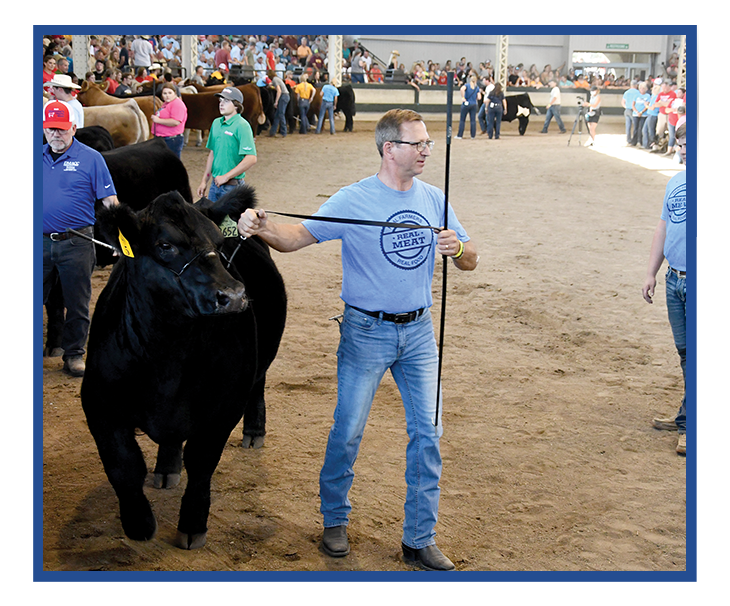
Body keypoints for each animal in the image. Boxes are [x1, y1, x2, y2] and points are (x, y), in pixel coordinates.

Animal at [79, 189, 284, 552]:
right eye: (165, 245)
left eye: (219, 241)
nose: (233, 295)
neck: (167, 359)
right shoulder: (98, 402)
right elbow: (123, 464)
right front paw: (139, 524)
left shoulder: (224, 406)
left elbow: (201, 463)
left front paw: (192, 525)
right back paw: (166, 469)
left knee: (258, 386)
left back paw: (254, 431)